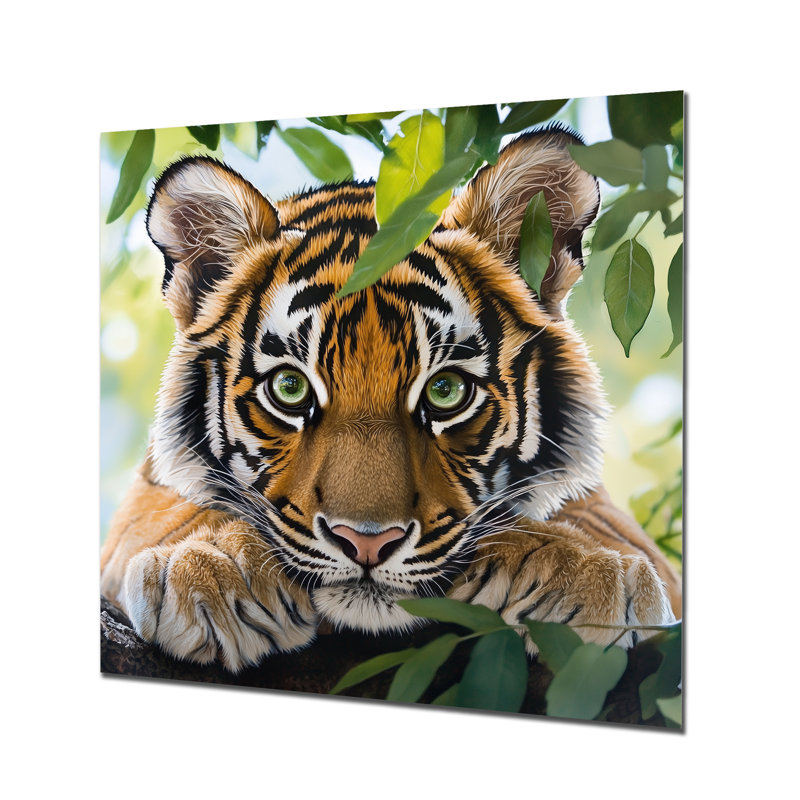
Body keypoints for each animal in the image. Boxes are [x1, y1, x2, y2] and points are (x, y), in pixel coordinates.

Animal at [100, 125, 681, 673]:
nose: (366, 544)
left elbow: (597, 524)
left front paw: (583, 571)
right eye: (289, 388)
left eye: (446, 392)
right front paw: (216, 566)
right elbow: (166, 511)